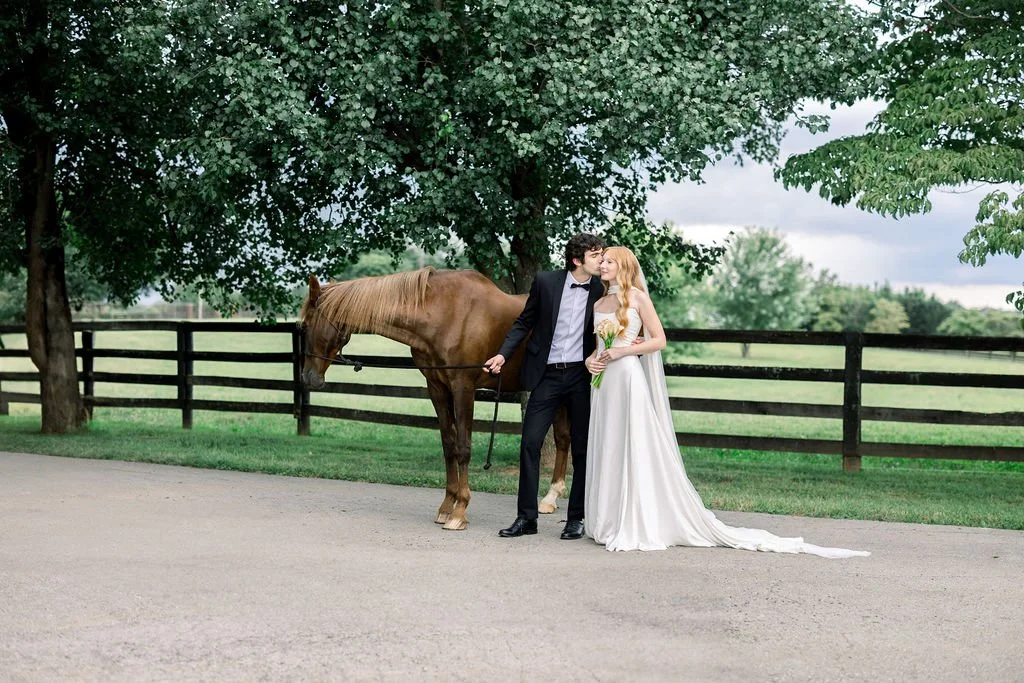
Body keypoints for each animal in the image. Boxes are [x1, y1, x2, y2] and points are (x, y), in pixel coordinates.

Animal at [298, 268, 572, 531]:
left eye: (306, 325)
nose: (308, 377)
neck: (445, 314)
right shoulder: (437, 388)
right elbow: (448, 445)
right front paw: (447, 506)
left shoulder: (463, 387)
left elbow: (463, 447)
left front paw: (460, 512)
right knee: (562, 439)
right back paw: (550, 498)